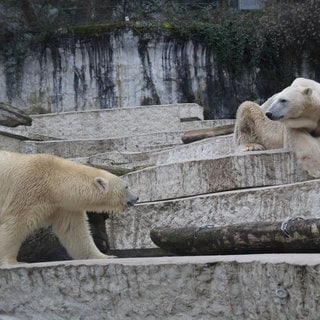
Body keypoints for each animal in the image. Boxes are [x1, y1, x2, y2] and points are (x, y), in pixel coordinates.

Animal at [0, 151, 139, 266]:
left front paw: (106, 256)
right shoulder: (29, 190)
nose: (136, 198)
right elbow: (15, 223)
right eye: (126, 186)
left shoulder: (64, 206)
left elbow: (74, 230)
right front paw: (12, 261)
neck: (53, 181)